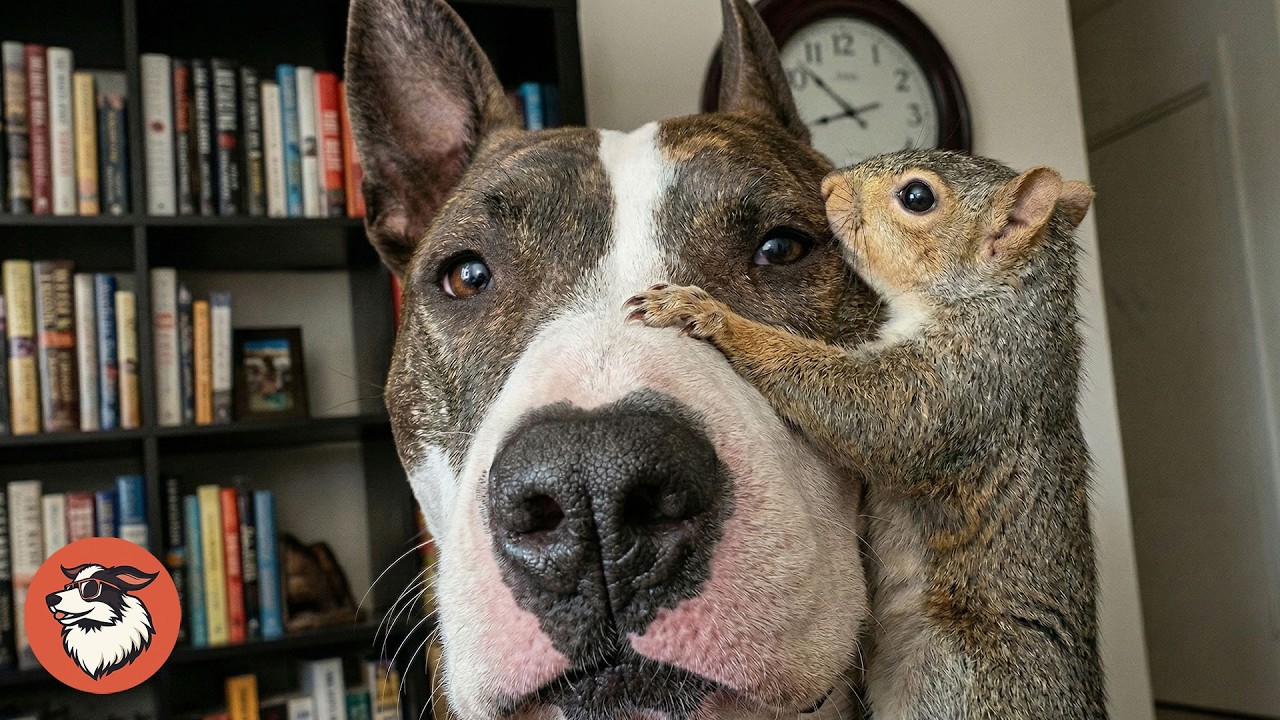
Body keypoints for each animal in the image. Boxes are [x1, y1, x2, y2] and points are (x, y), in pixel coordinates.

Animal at [624, 149, 1104, 720]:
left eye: (917, 197)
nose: (830, 185)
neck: (999, 303)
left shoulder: (966, 383)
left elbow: (868, 414)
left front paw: (711, 315)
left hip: (959, 678)